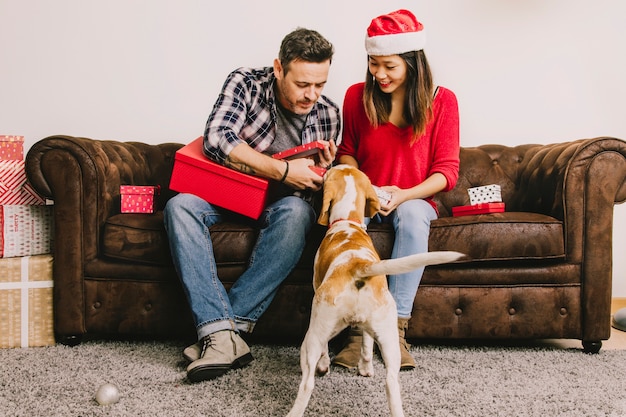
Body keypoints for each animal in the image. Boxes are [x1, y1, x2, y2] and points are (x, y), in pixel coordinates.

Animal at [286, 165, 460, 416]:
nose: (328, 166)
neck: (348, 222)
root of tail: (358, 267)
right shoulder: (369, 328)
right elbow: (366, 345)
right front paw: (365, 369)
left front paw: (327, 365)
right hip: (388, 336)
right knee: (391, 383)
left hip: (314, 334)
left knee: (308, 382)